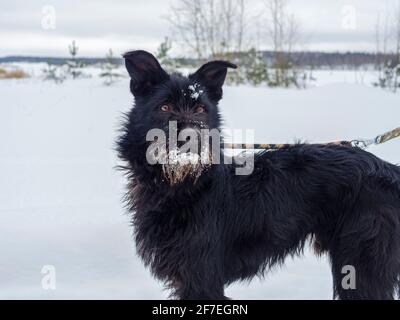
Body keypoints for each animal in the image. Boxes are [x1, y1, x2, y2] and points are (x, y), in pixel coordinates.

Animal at [117, 50, 400, 300]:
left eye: (200, 109)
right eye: (164, 107)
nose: (191, 138)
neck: (183, 183)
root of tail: (391, 170)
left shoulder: (202, 278)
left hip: (361, 264)